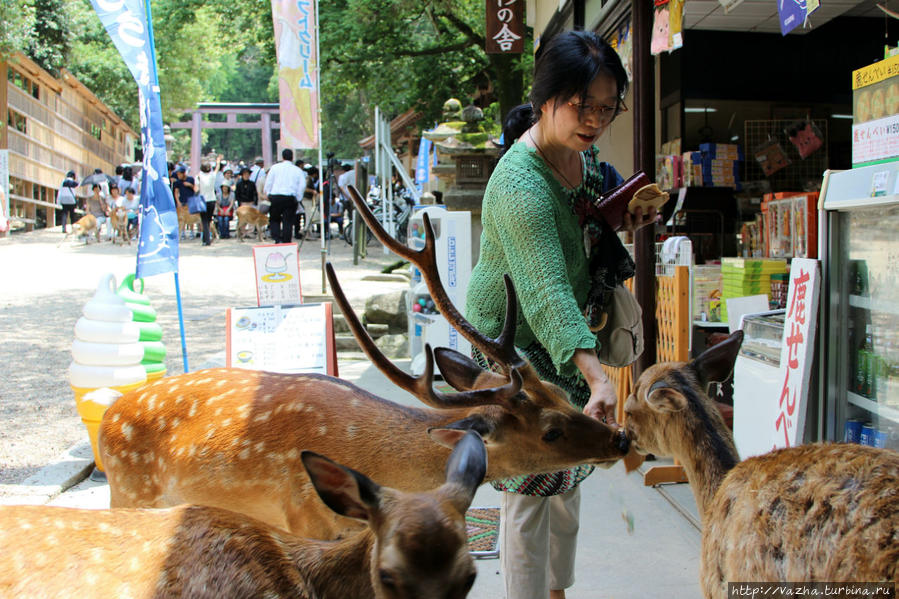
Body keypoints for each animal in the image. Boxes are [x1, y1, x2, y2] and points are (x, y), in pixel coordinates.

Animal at [98, 184, 628, 540]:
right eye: (550, 432)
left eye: (562, 393)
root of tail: (107, 417)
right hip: (129, 492)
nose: (620, 437)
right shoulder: (304, 521)